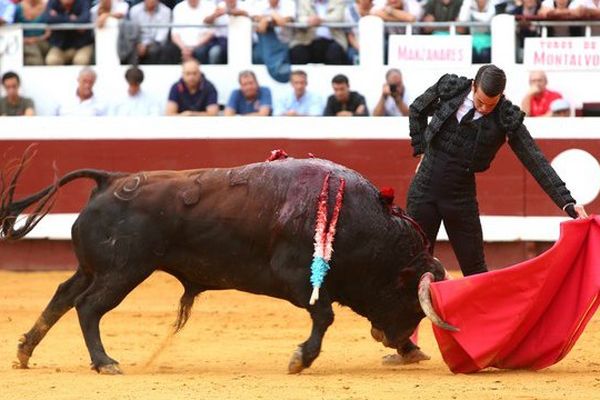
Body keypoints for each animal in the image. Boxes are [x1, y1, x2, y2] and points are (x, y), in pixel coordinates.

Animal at [0, 148, 452, 374]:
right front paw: (299, 360)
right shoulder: (296, 279)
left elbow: (324, 315)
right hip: (124, 270)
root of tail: (111, 180)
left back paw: (24, 352)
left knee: (63, 296)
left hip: (95, 268)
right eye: (410, 302)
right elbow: (324, 316)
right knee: (88, 306)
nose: (401, 343)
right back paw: (104, 362)